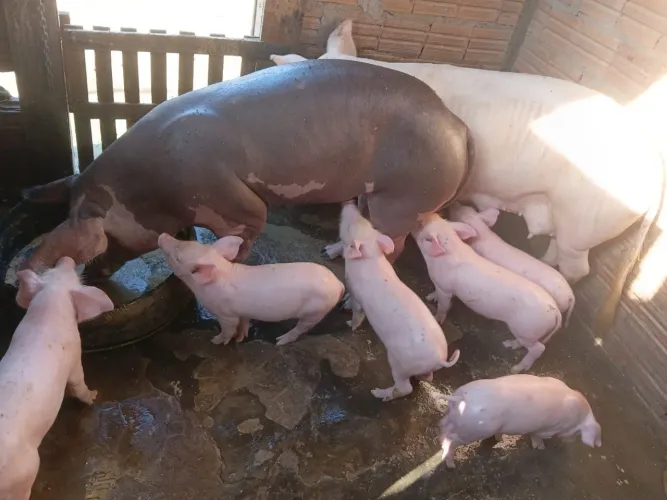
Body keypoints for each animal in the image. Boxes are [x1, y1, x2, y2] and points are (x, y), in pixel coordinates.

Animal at [0, 257, 114, 500]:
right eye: (73, 277)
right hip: (25, 471)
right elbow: (78, 384)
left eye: (52, 270)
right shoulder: (74, 357)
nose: (66, 259)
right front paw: (95, 395)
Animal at [157, 233, 344, 346]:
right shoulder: (241, 311)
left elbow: (229, 329)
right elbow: (243, 322)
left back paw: (279, 341)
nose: (162, 234)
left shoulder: (226, 314)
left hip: (316, 311)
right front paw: (241, 338)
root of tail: (339, 284)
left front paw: (215, 340)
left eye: (177, 258)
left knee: (301, 328)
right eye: (190, 241)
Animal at [339, 203, 460, 401]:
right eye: (369, 223)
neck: (369, 255)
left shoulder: (356, 293)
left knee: (404, 388)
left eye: (349, 228)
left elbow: (357, 311)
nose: (349, 203)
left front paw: (349, 323)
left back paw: (378, 393)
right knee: (427, 377)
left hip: (399, 363)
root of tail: (439, 358)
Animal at [413, 214, 562, 373]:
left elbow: (443, 306)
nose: (424, 215)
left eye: (422, 226)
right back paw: (508, 344)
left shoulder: (445, 288)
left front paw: (436, 318)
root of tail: (555, 310)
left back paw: (515, 368)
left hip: (527, 328)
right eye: (439, 218)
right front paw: (429, 297)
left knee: (539, 348)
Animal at [439, 374, 602, 468]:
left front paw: (500, 438)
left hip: (454, 417)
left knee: (444, 426)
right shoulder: (546, 429)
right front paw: (540, 447)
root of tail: (460, 398)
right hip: (475, 430)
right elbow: (537, 436)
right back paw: (451, 465)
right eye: (578, 432)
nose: (569, 441)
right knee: (452, 440)